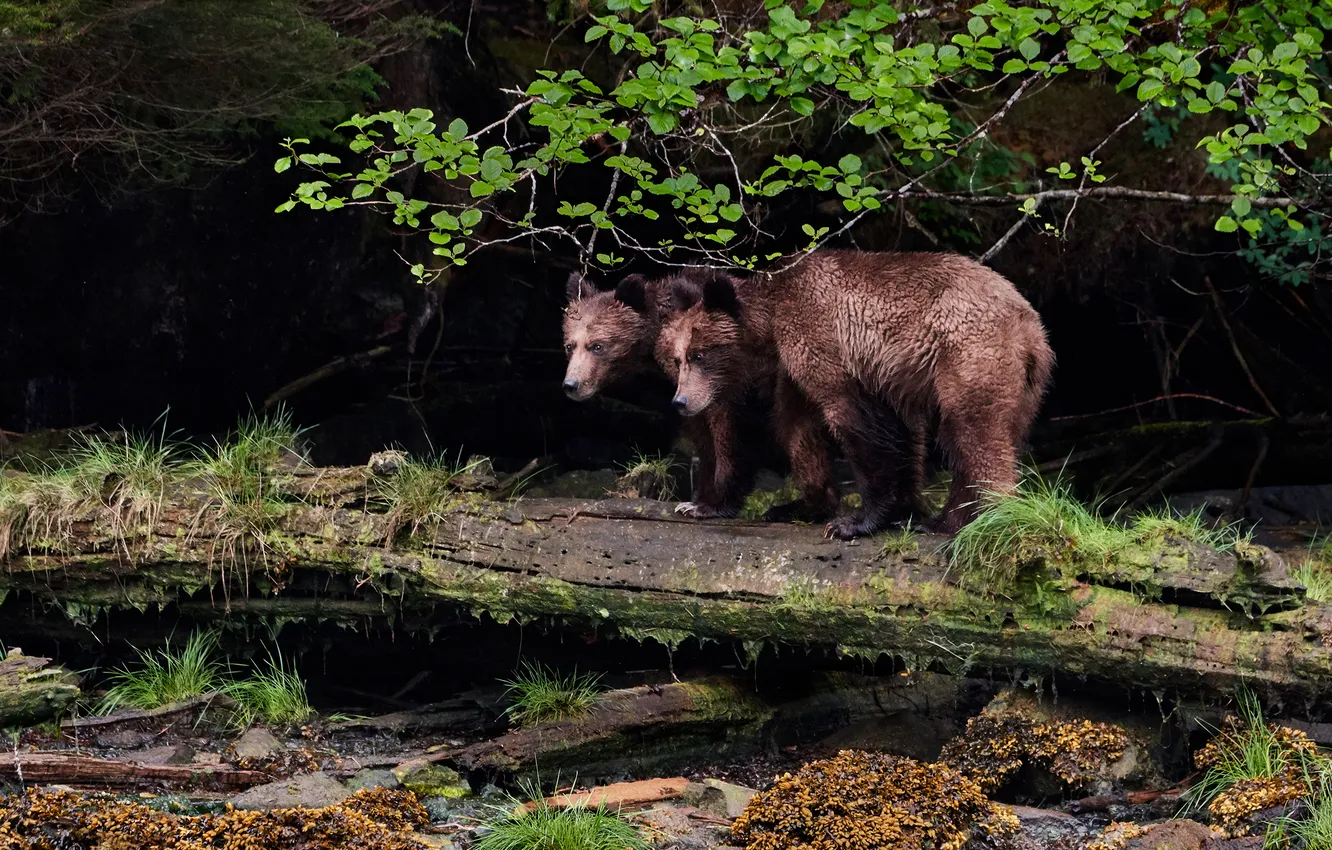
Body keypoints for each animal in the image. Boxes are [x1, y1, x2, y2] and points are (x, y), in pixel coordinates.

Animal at [661, 250, 1053, 538]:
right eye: (677, 357)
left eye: (699, 354)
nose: (680, 402)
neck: (772, 323)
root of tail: (1028, 322)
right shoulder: (803, 372)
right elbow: (794, 428)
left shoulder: (820, 339)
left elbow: (853, 422)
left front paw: (854, 522)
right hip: (1026, 385)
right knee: (989, 436)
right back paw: (942, 520)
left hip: (968, 354)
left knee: (973, 432)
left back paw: (980, 519)